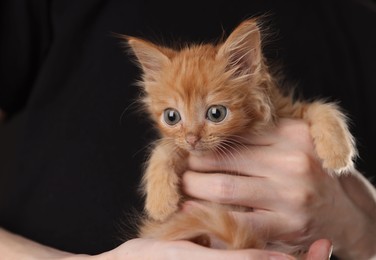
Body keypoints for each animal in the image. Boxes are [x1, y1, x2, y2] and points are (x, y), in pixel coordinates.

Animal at [123, 18, 356, 254]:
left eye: (216, 113)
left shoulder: (288, 110)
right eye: (171, 117)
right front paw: (159, 202)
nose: (192, 139)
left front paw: (337, 153)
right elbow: (164, 148)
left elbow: (321, 108)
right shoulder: (183, 148)